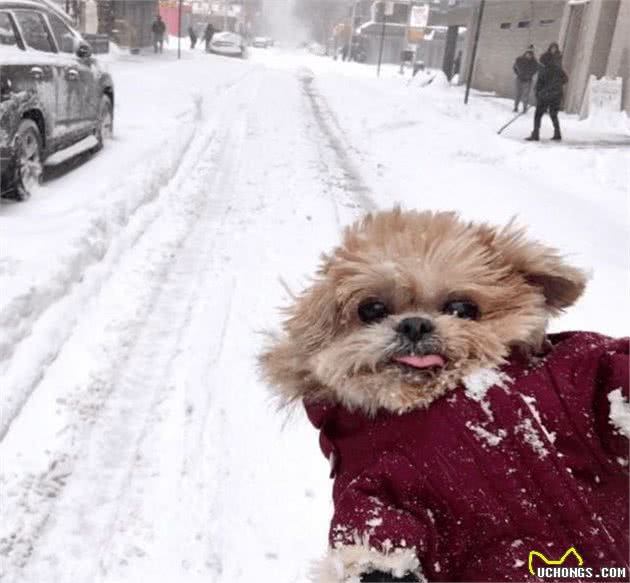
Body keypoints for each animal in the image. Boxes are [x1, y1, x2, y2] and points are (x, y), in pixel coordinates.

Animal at [260, 210, 628, 583]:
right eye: (372, 309)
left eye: (463, 308)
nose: (414, 324)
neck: (440, 397)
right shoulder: (375, 484)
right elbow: (379, 533)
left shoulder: (569, 383)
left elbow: (602, 384)